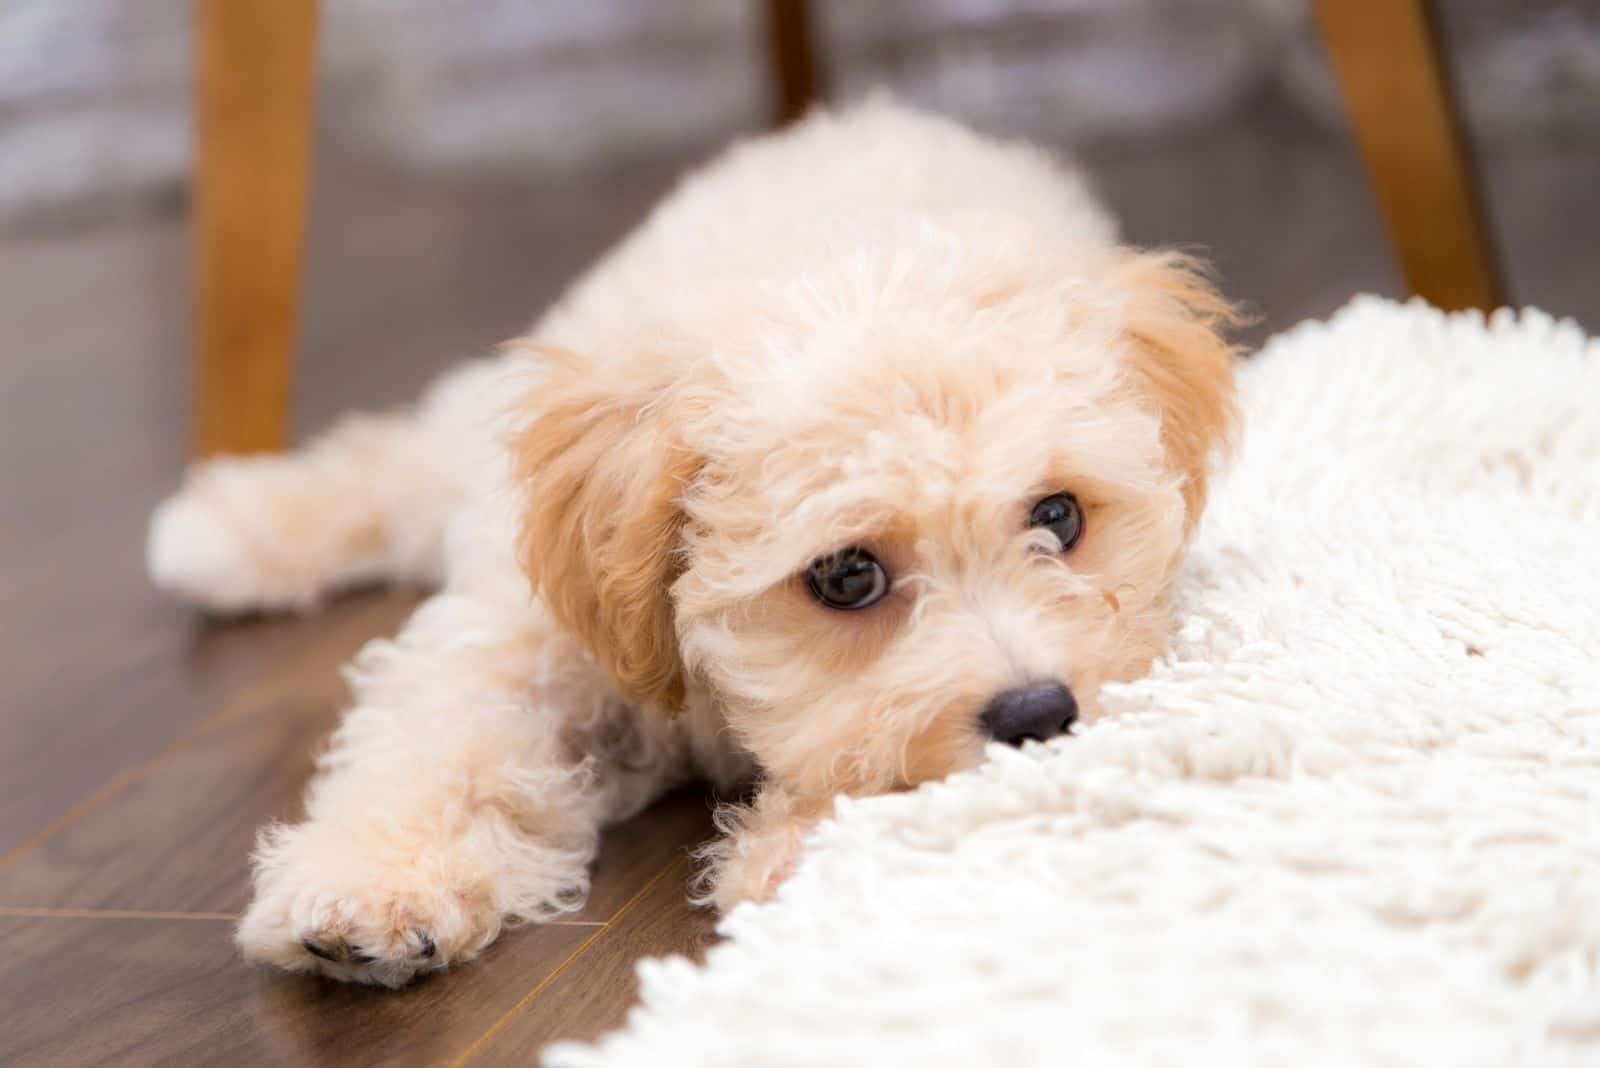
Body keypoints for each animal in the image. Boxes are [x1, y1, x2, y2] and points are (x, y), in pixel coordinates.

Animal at [150, 99, 1235, 984]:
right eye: (846, 576)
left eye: (1059, 517)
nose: (1036, 713)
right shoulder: (533, 620)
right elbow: (438, 738)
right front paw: (371, 881)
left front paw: (807, 853)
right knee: (407, 456)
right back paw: (226, 532)